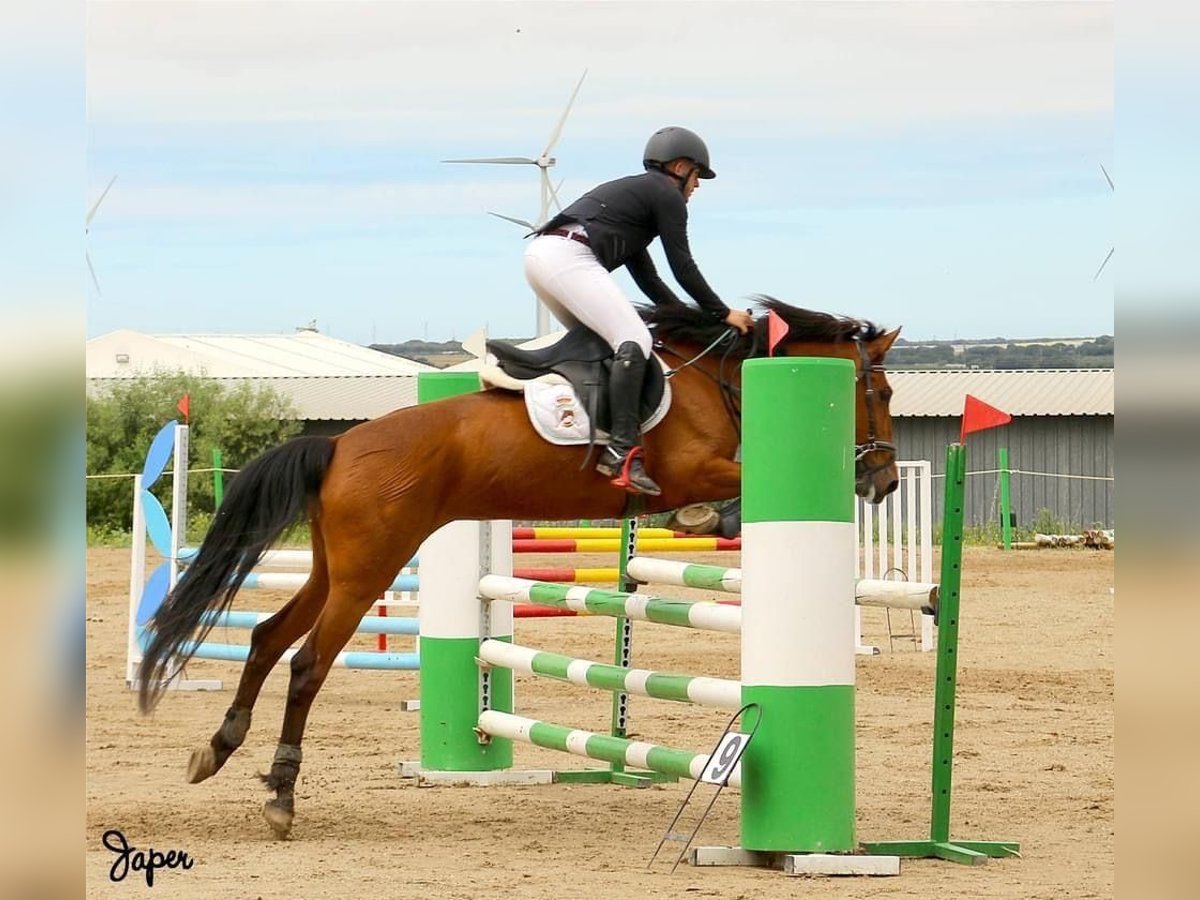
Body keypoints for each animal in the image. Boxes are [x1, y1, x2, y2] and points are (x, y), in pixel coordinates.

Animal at [136, 300, 897, 844]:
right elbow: (722, 488)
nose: (885, 481)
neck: (720, 379)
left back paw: (218, 750)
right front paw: (710, 517)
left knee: (266, 636)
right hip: (367, 571)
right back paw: (281, 796)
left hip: (336, 568)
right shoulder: (695, 468)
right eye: (883, 390)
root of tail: (338, 444)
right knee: (306, 664)